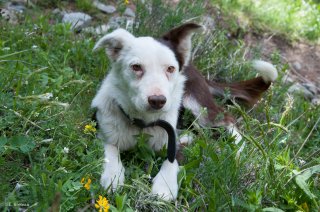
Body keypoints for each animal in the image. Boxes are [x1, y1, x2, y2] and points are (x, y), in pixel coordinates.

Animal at [92, 22, 278, 200]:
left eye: (170, 68)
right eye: (136, 67)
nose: (158, 101)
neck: (145, 123)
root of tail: (194, 68)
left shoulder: (171, 144)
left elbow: (172, 161)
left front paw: (165, 185)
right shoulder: (103, 130)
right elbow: (110, 151)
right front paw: (113, 175)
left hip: (195, 103)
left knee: (226, 118)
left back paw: (237, 150)